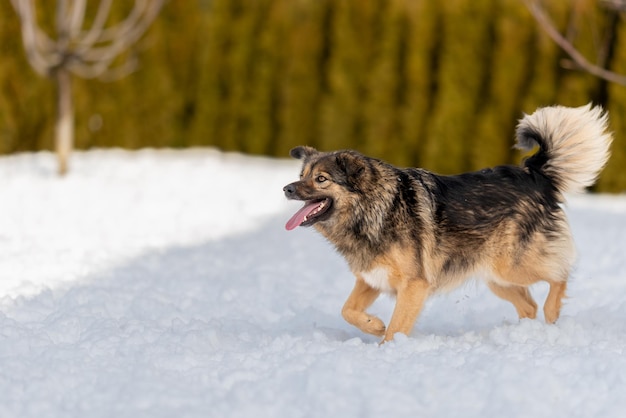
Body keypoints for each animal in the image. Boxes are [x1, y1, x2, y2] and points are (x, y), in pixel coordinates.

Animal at [282, 104, 608, 342]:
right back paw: (523, 333)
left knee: (561, 275)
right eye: (302, 175)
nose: (286, 189)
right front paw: (373, 324)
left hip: (513, 265)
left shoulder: (414, 285)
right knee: (529, 305)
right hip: (496, 276)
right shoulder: (371, 278)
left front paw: (387, 350)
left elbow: (395, 329)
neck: (376, 208)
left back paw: (552, 314)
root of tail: (534, 174)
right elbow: (347, 310)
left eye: (321, 179)